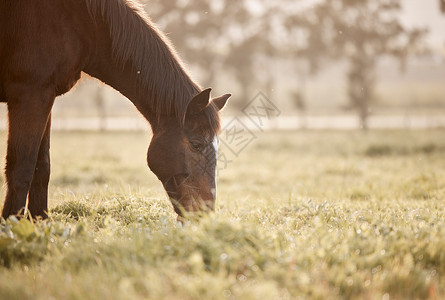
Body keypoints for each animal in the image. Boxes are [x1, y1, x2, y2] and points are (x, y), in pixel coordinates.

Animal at [0, 0, 229, 219]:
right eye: (197, 145)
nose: (204, 212)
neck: (81, 22)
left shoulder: (45, 97)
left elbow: (42, 167)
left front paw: (40, 221)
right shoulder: (31, 95)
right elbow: (21, 168)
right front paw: (12, 224)